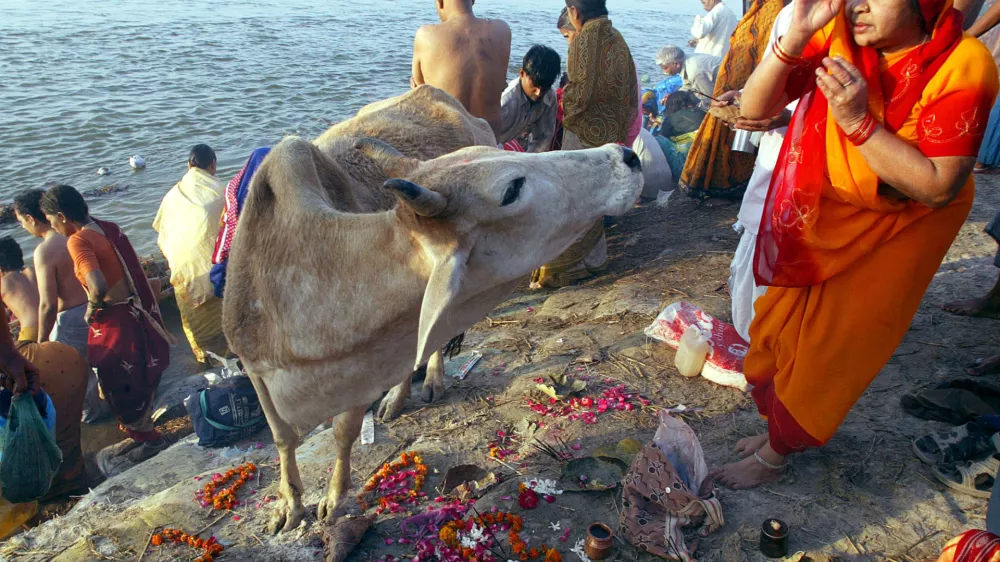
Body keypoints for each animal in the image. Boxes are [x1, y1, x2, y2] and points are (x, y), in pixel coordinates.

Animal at [222, 87, 644, 533]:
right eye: (511, 190)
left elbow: (344, 432)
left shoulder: (367, 368)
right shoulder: (255, 367)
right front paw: (289, 504)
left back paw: (428, 382)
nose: (624, 156)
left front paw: (334, 500)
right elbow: (282, 437)